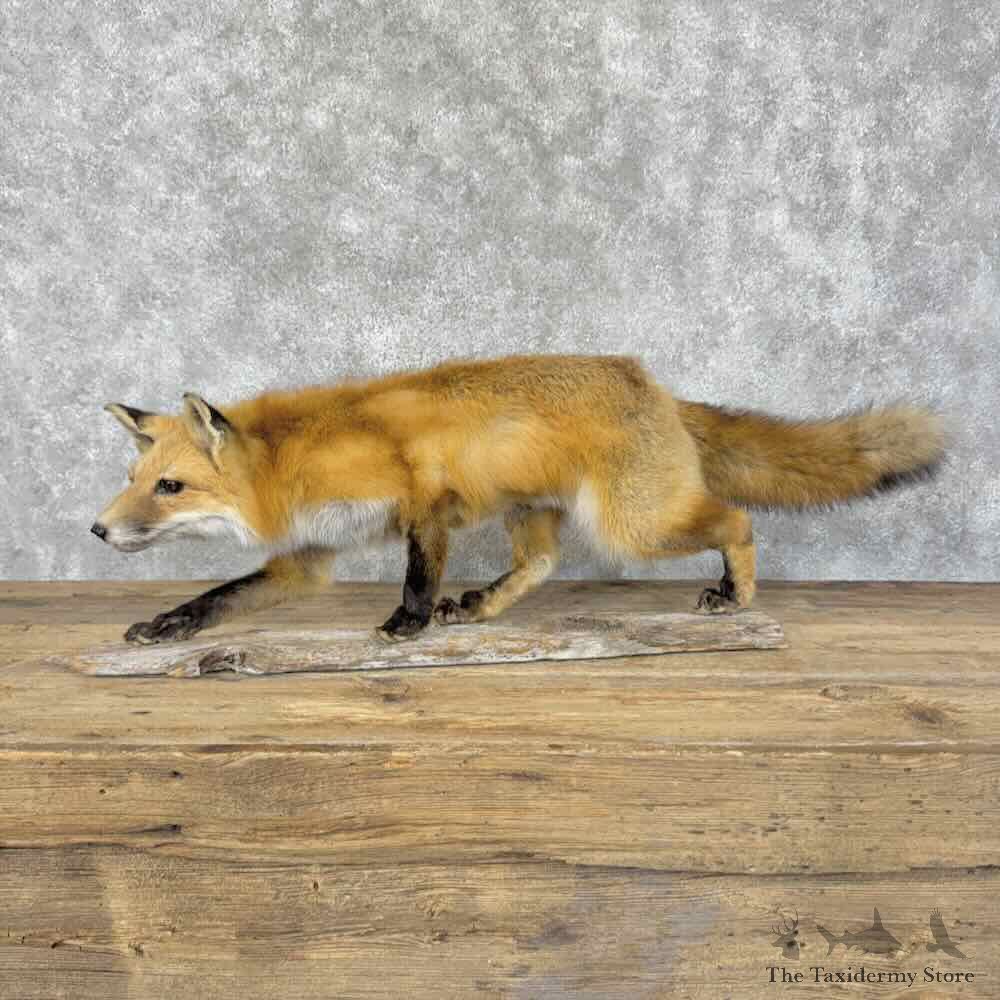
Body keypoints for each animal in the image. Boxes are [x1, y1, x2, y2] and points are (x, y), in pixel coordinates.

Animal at [90, 354, 946, 644]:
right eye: (133, 481)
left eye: (170, 487)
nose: (97, 530)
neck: (296, 459)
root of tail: (653, 383)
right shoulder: (311, 557)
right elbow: (221, 597)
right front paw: (168, 626)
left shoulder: (423, 500)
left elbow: (417, 573)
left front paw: (406, 624)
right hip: (532, 513)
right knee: (540, 565)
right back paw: (482, 607)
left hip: (635, 525)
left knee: (736, 519)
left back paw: (737, 594)